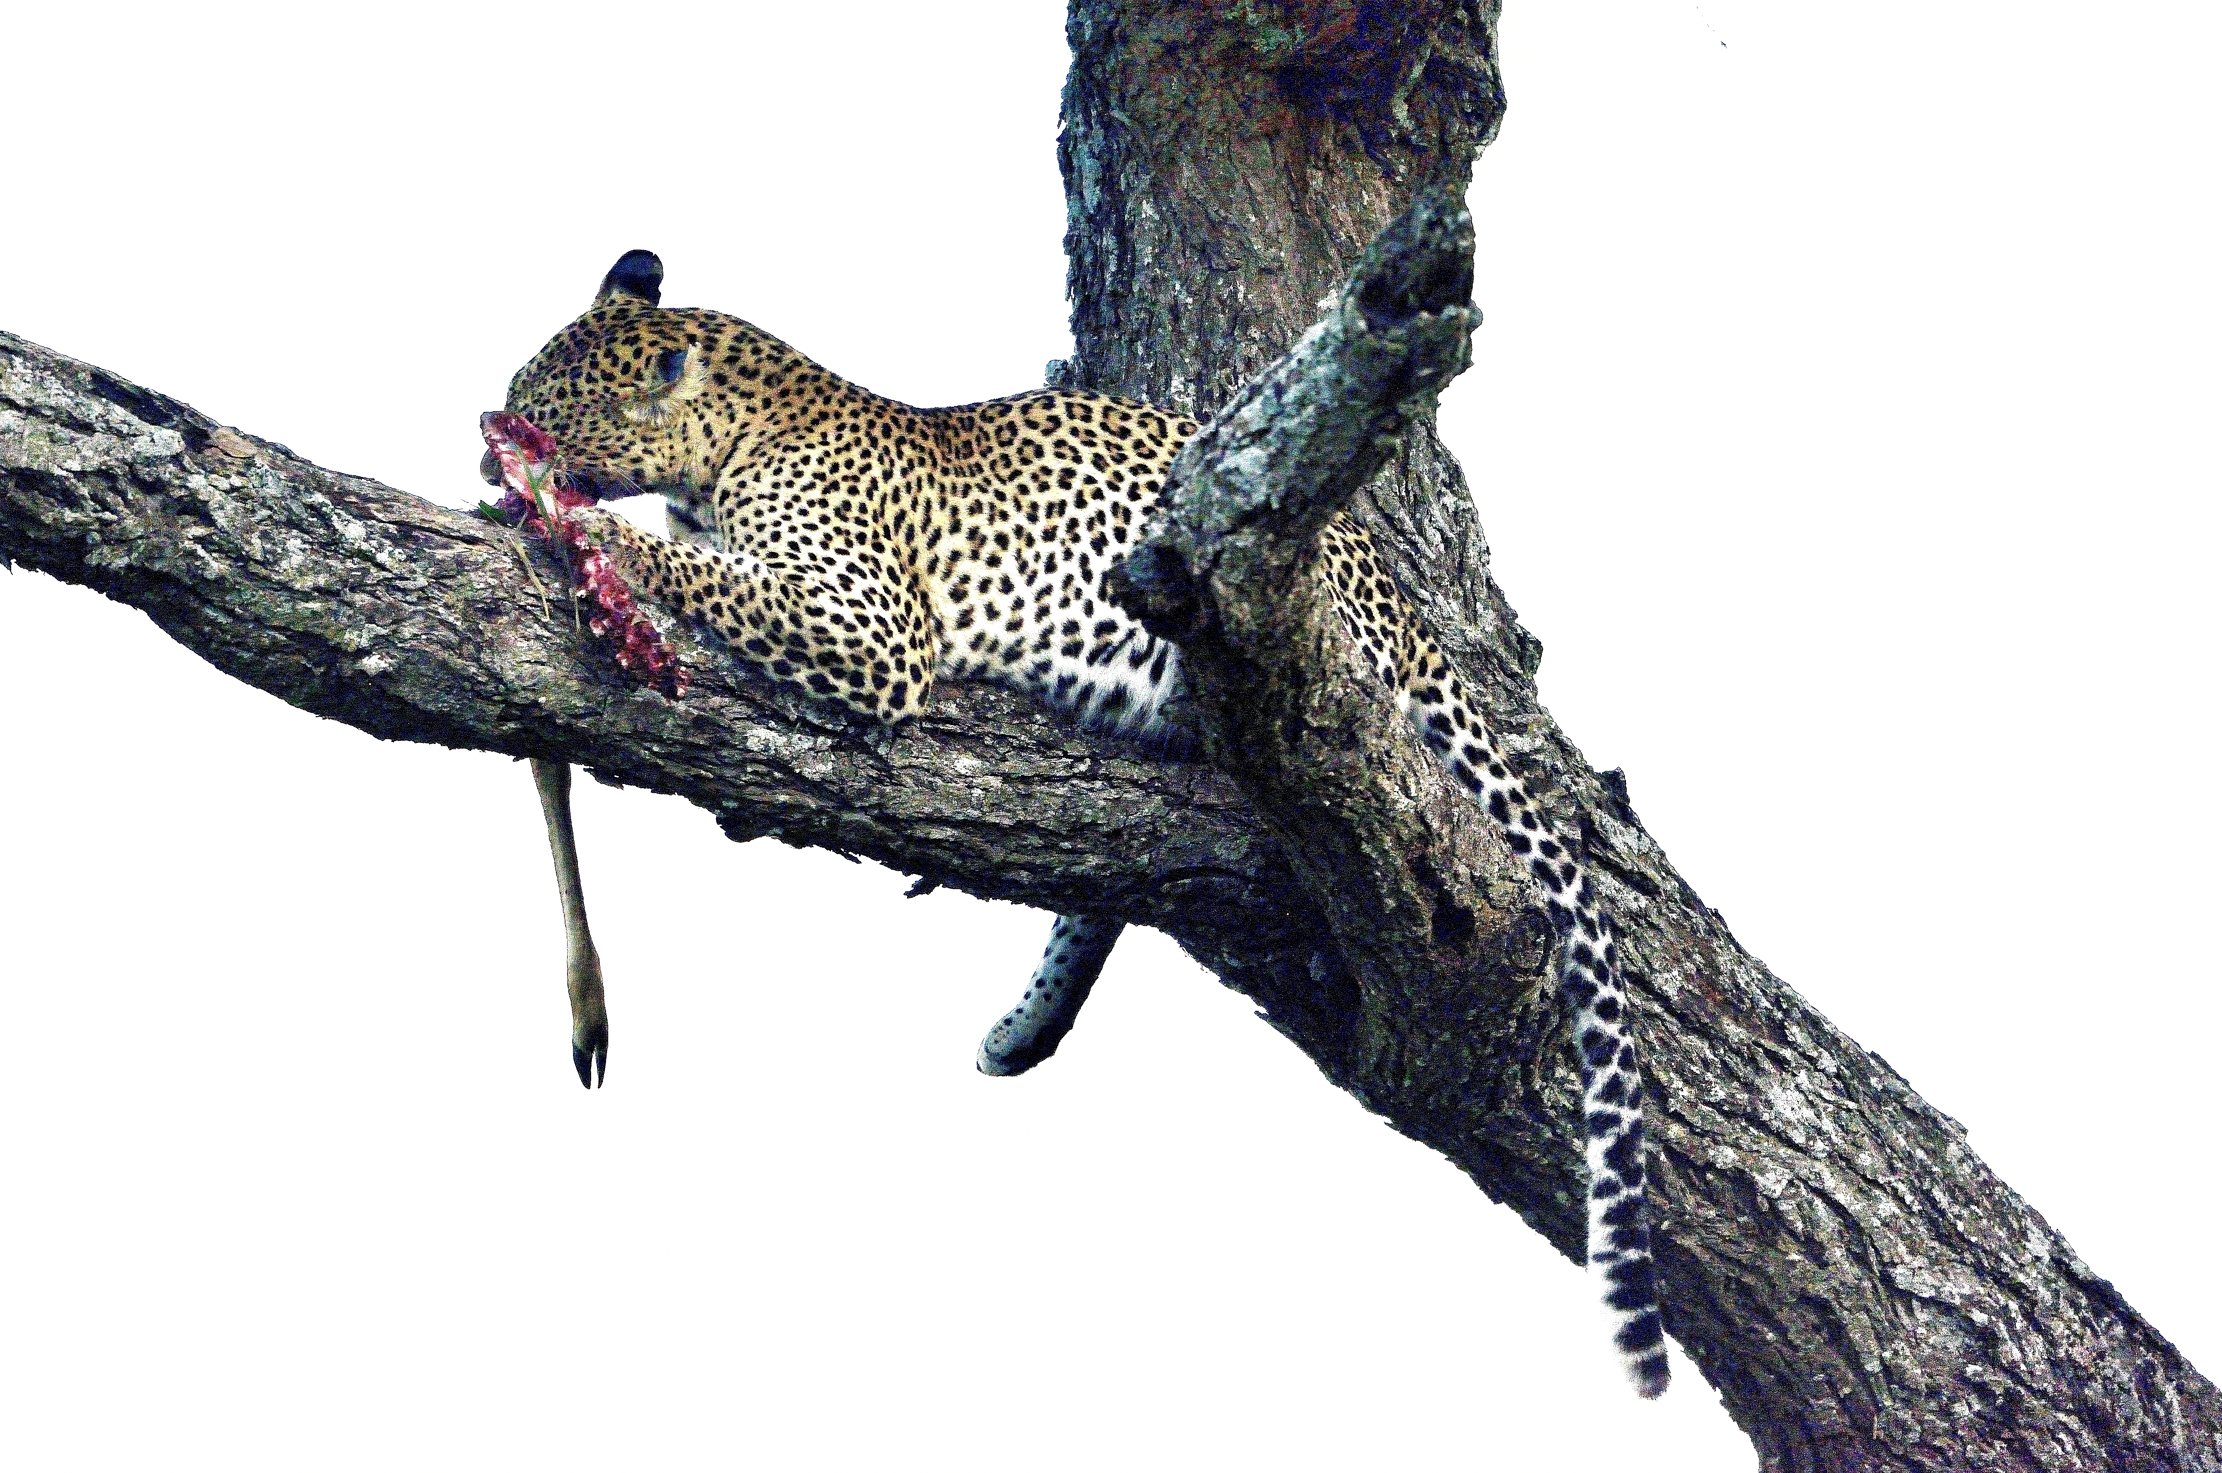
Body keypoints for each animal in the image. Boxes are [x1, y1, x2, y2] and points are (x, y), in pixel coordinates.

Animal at [490, 249, 1670, 1398]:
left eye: (542, 406)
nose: (486, 427)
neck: (733, 436)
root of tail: (1394, 594)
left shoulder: (870, 631)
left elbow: (704, 574)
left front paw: (590, 530)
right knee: (1110, 881)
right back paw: (1026, 1027)